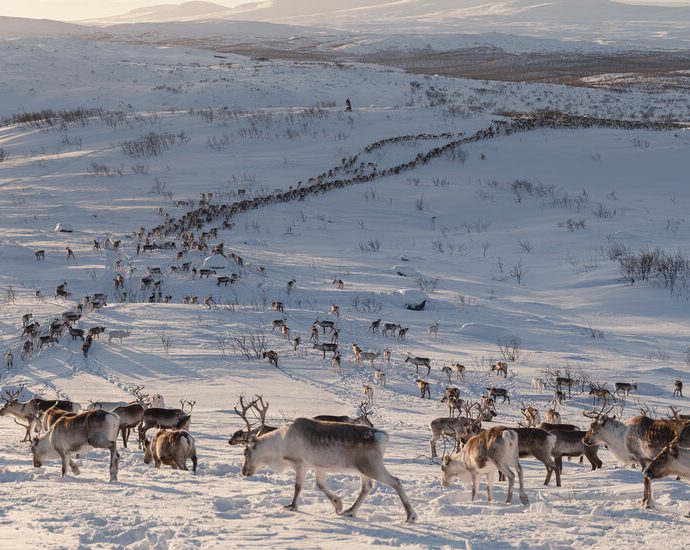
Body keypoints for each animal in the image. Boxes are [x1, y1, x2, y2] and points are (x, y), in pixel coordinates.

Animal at [238, 395, 417, 522]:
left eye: (245, 452)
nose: (244, 472)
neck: (280, 444)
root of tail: (383, 436)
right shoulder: (318, 466)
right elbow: (320, 484)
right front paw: (338, 505)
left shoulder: (300, 463)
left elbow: (298, 486)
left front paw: (292, 506)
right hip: (364, 468)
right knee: (367, 487)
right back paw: (350, 511)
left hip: (371, 465)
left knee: (395, 481)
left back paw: (410, 516)